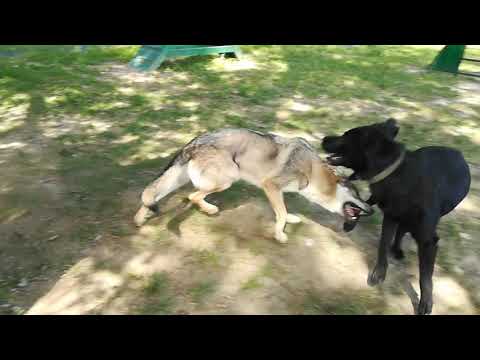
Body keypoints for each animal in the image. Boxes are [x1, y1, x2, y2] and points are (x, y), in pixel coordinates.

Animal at [320, 119, 470, 316]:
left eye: (346, 135)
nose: (323, 138)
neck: (396, 174)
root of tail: (459, 153)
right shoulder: (389, 215)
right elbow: (382, 245)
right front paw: (379, 272)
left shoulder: (428, 241)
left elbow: (425, 276)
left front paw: (425, 302)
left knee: (403, 226)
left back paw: (396, 248)